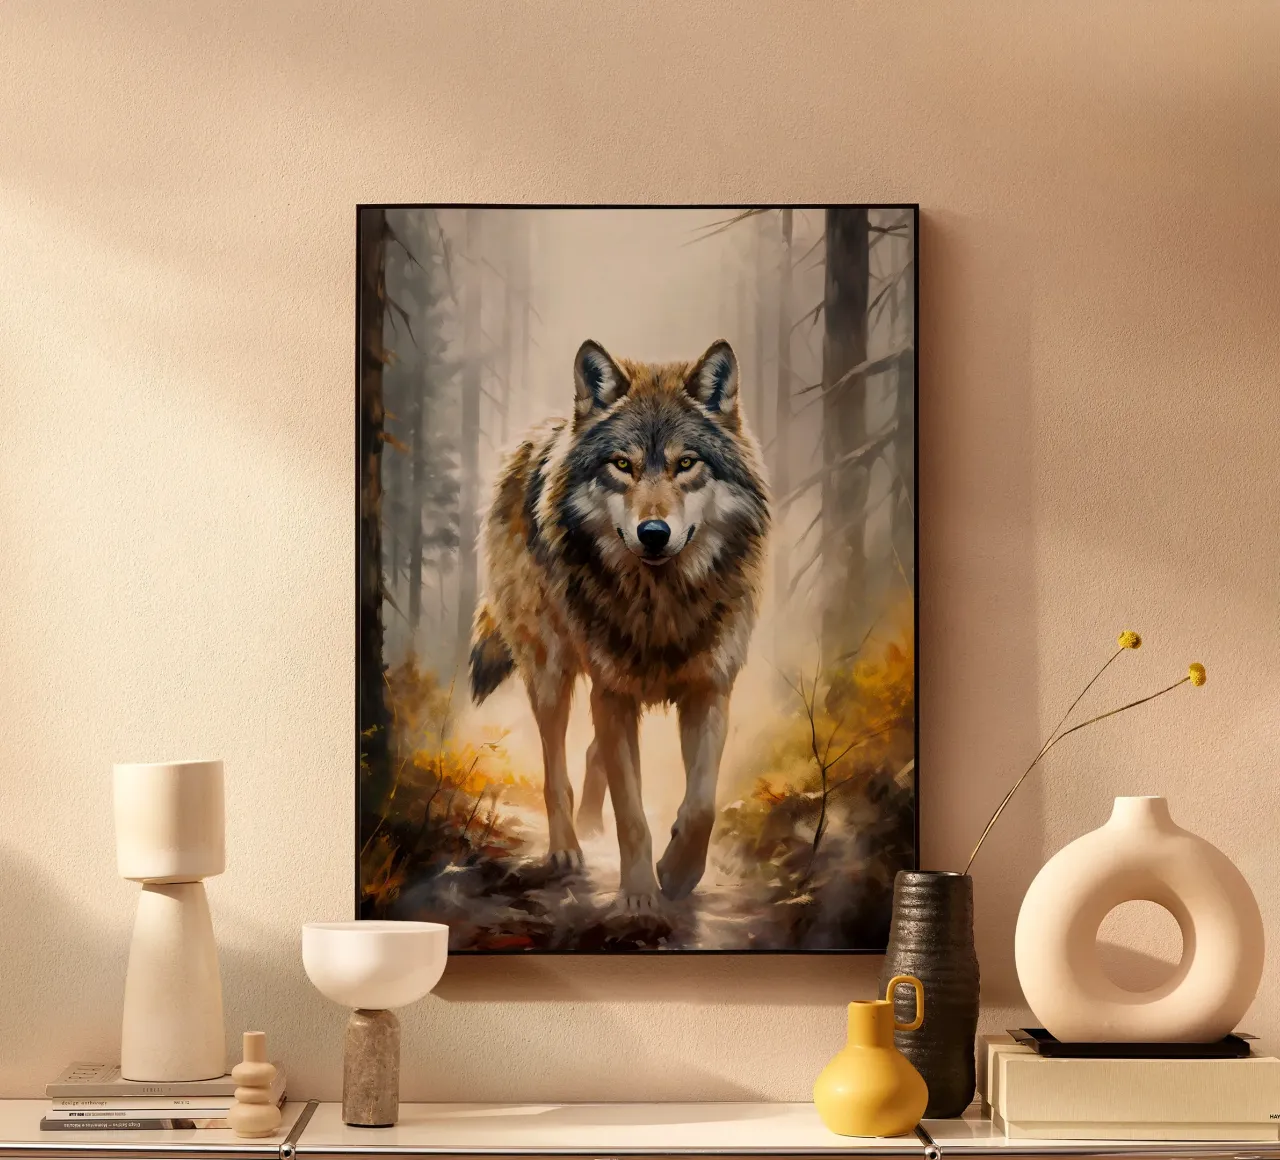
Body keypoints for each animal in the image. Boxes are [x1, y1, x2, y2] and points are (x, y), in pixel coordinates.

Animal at [468, 338, 770, 910]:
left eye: (686, 463)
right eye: (622, 465)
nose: (653, 532)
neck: (661, 604)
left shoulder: (709, 688)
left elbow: (701, 806)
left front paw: (677, 873)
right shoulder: (612, 692)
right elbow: (631, 812)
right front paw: (639, 896)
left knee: (592, 755)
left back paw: (590, 826)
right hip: (551, 673)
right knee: (556, 771)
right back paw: (567, 848)